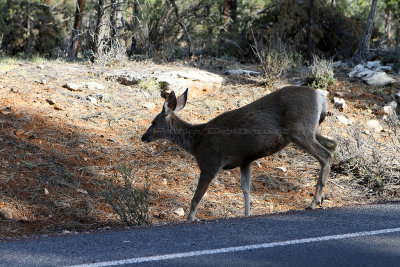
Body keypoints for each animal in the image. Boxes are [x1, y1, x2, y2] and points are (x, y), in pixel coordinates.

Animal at [142, 86, 336, 222]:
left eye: (153, 122)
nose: (143, 137)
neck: (196, 142)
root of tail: (320, 96)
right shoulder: (245, 161)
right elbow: (246, 190)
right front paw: (247, 214)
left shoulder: (210, 163)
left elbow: (197, 197)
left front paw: (190, 218)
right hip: (311, 129)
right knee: (333, 144)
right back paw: (321, 197)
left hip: (299, 130)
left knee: (325, 155)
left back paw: (314, 202)